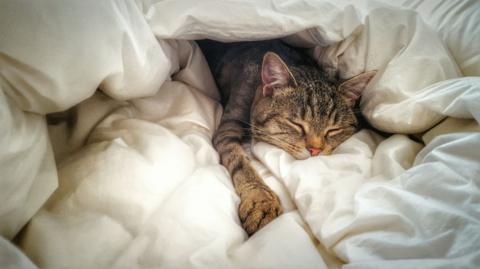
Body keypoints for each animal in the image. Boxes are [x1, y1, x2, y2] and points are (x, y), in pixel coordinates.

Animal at [198, 38, 376, 233]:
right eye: (296, 124)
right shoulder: (227, 129)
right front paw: (260, 199)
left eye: (333, 130)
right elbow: (240, 163)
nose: (315, 150)